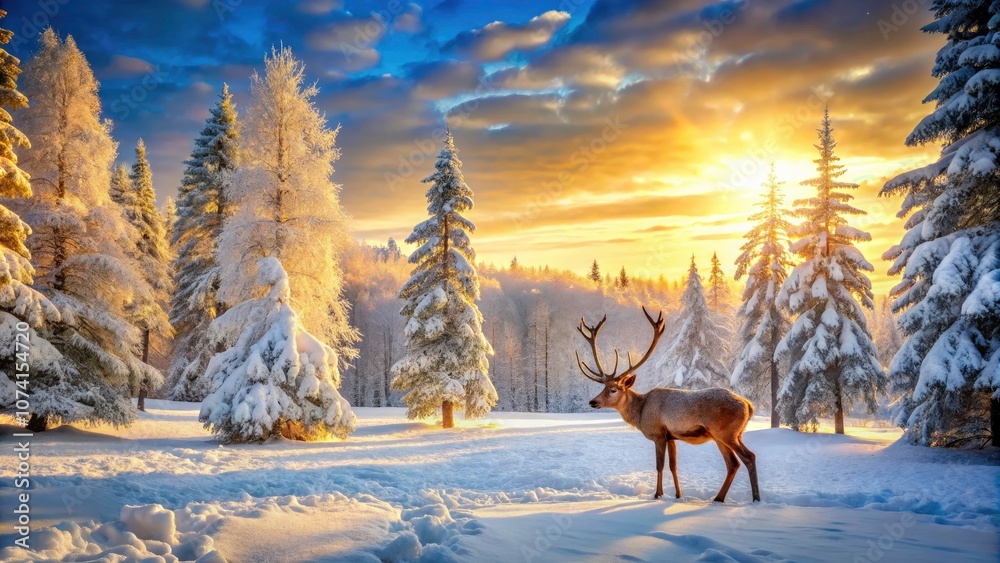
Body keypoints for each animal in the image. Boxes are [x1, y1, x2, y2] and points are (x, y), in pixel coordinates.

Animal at [577, 307, 760, 503]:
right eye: (602, 387)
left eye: (613, 390)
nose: (593, 401)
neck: (640, 413)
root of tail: (748, 406)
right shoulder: (672, 436)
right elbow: (673, 466)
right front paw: (678, 495)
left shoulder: (659, 434)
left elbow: (660, 466)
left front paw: (658, 494)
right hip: (728, 435)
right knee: (733, 463)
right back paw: (720, 498)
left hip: (726, 432)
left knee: (748, 457)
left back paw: (754, 498)